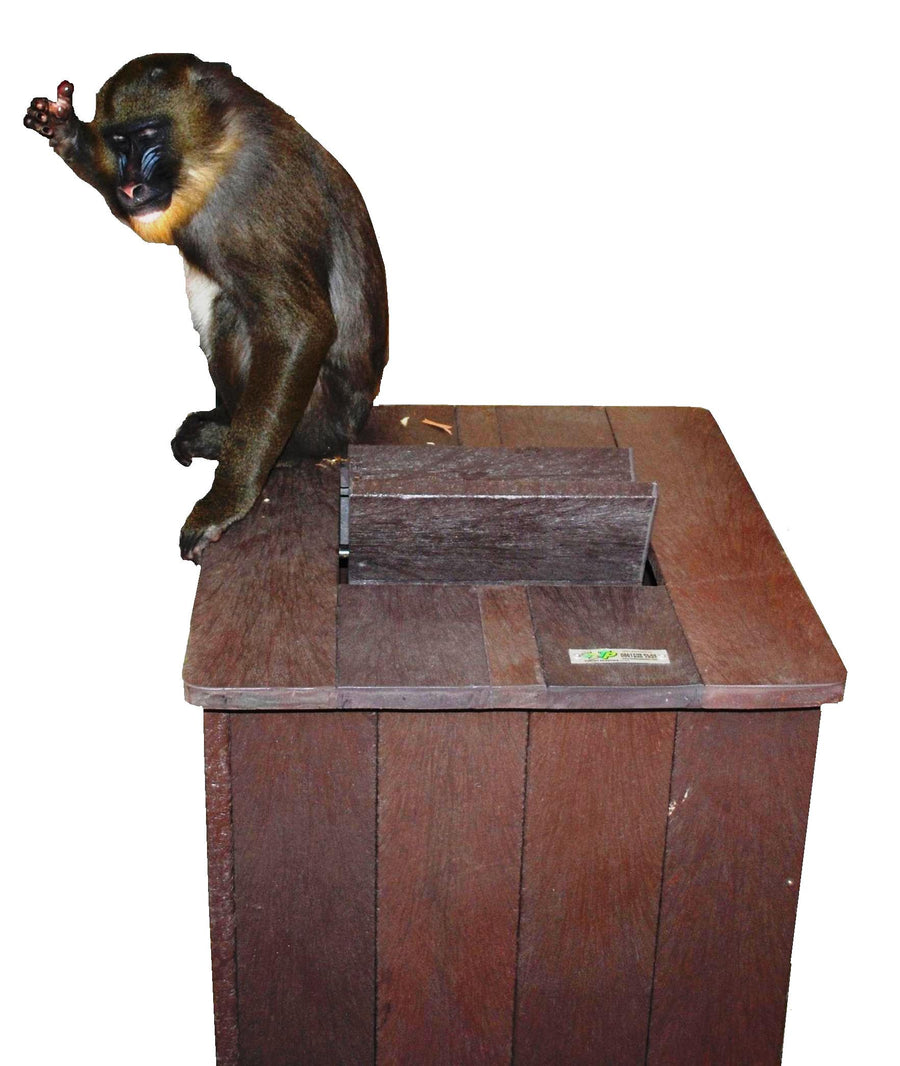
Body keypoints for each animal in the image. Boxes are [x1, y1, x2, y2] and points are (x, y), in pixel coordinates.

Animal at [24, 54, 388, 562]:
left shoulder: (250, 201)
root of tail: (354, 425)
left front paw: (224, 504)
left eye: (150, 134)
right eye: (119, 141)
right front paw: (65, 130)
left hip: (320, 419)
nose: (132, 186)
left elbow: (299, 329)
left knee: (232, 311)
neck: (214, 143)